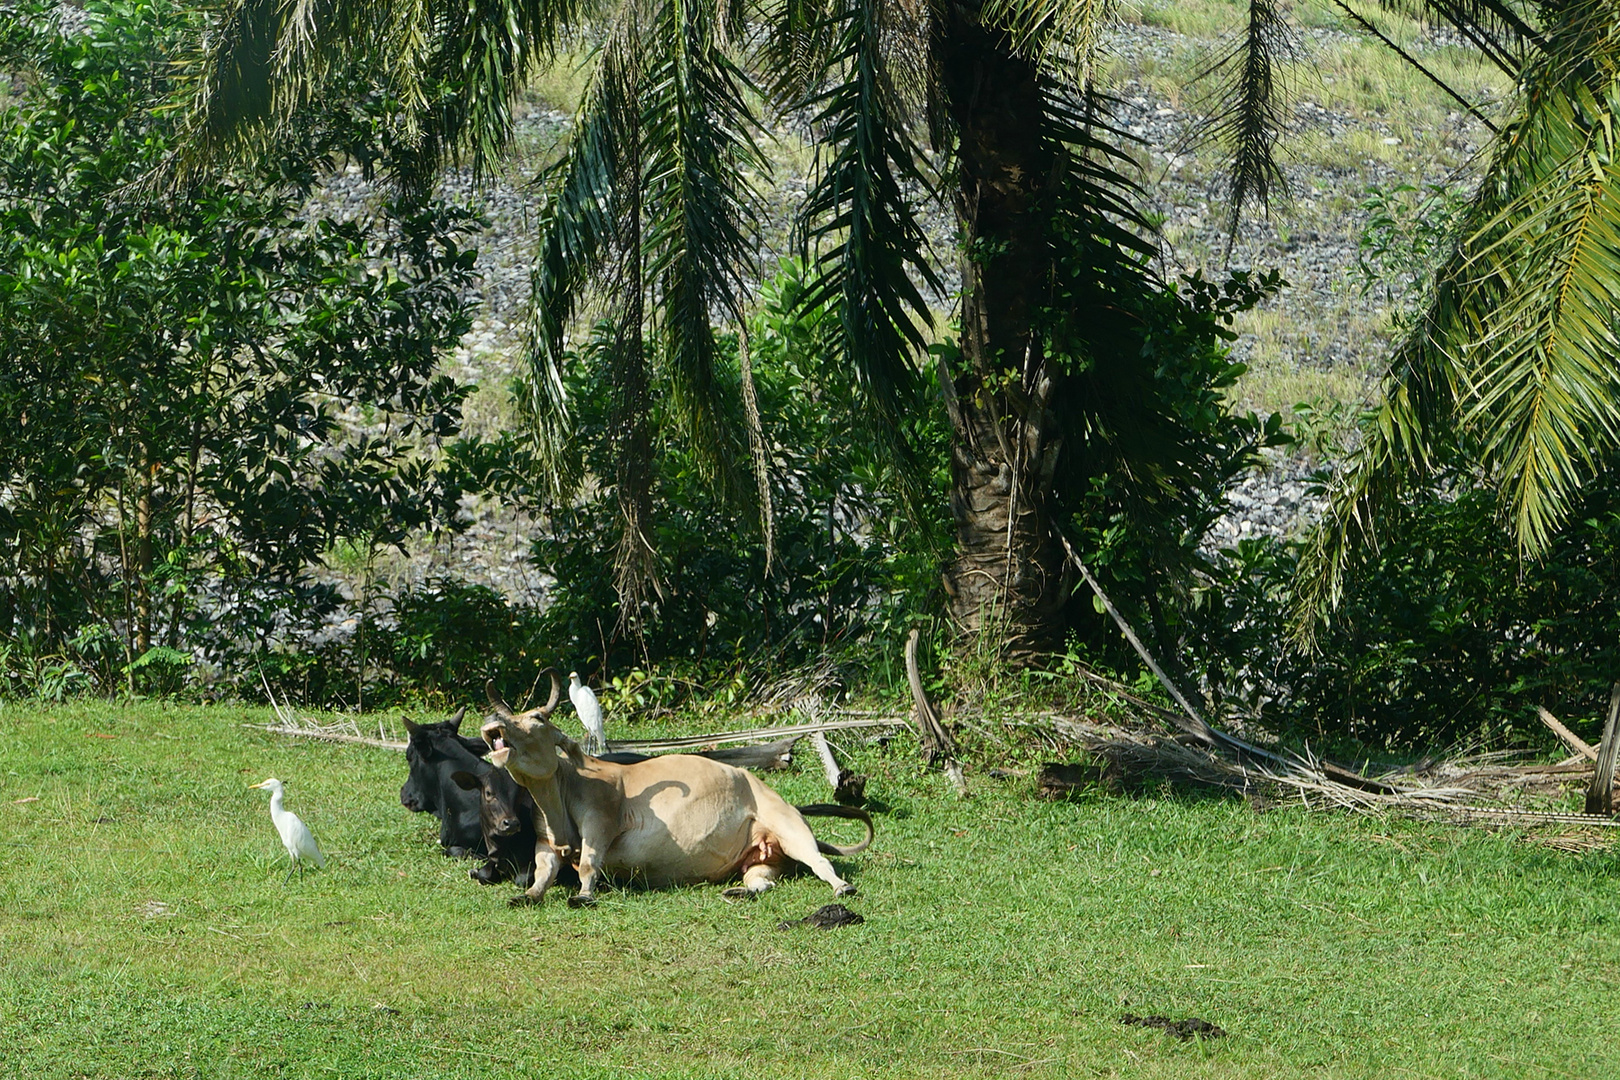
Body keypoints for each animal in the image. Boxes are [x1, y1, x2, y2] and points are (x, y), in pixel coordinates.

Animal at [479, 680, 874, 906]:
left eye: (537, 719)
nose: (492, 724)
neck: (563, 790)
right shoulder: (545, 841)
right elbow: (541, 874)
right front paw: (528, 895)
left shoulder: (601, 820)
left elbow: (590, 863)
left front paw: (584, 895)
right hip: (764, 857)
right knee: (761, 881)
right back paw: (738, 891)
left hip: (789, 827)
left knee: (821, 863)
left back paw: (842, 887)